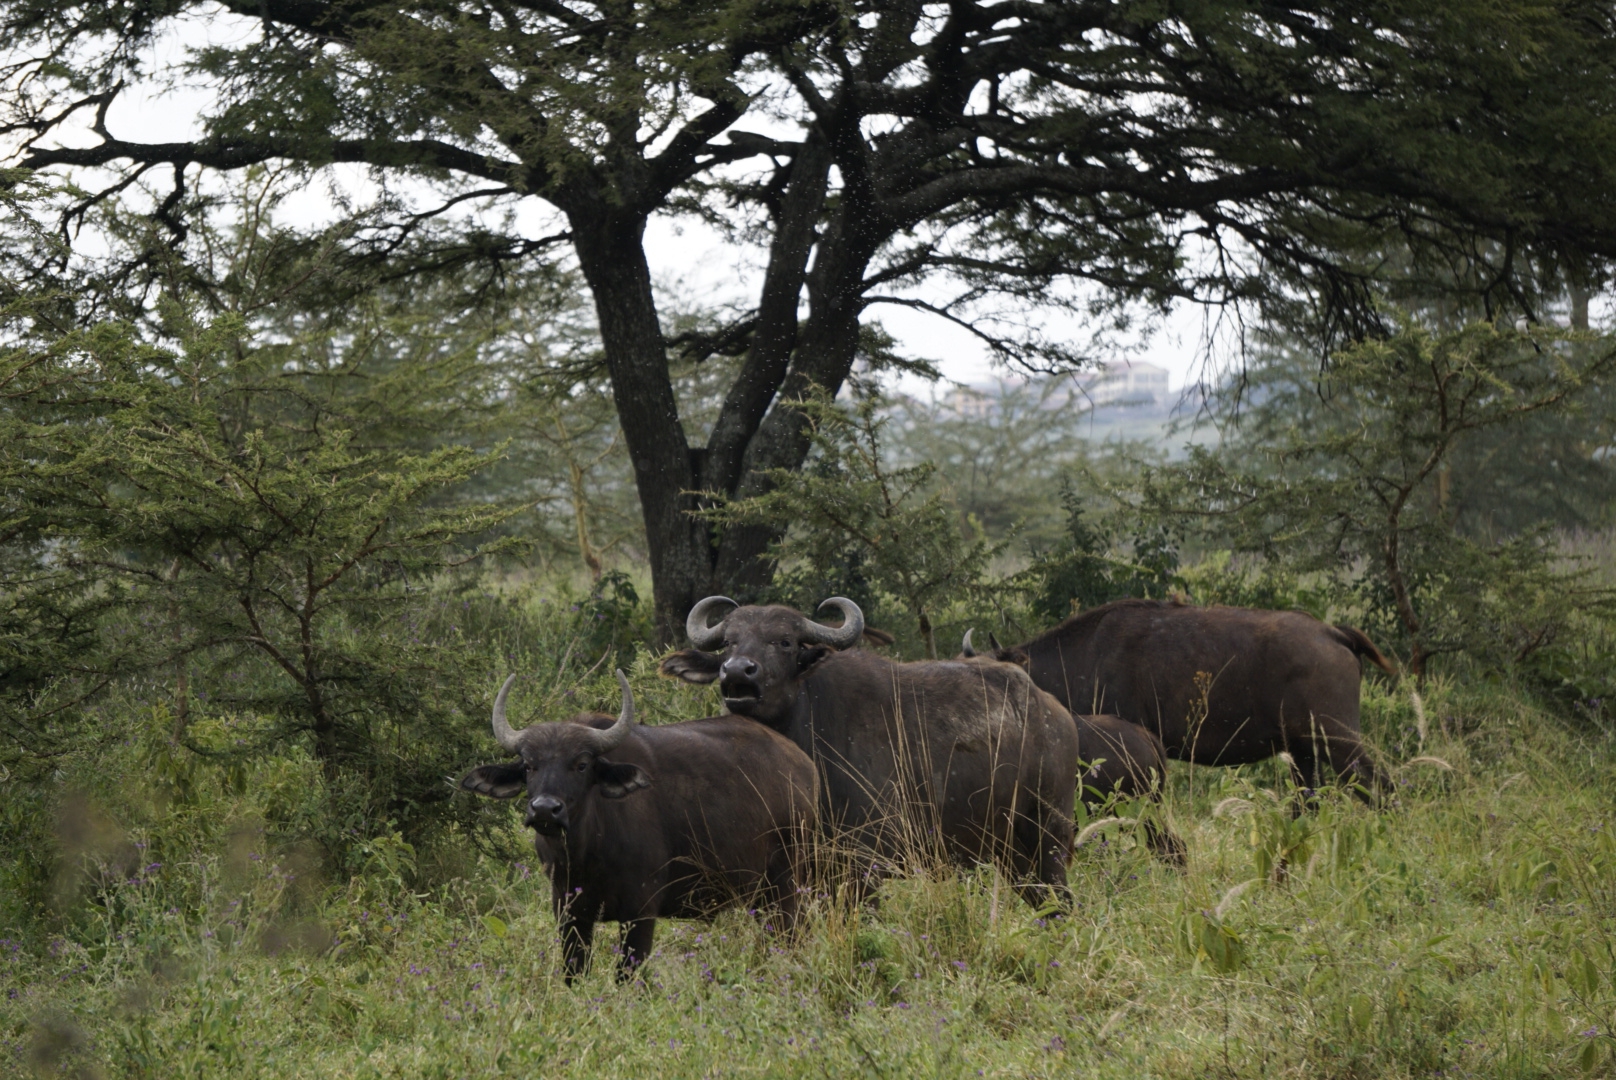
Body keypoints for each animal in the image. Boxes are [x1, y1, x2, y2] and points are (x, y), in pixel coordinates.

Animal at [465, 669, 820, 982]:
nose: (545, 810)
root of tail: (802, 765)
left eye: (582, 764)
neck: (586, 853)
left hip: (787, 884)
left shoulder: (640, 911)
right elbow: (574, 973)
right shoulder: (568, 911)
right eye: (528, 765)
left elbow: (627, 974)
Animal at [662, 598, 1079, 905]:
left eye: (784, 641)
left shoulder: (867, 862)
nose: (736, 672)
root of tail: (1053, 714)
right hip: (1008, 852)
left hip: (1050, 834)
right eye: (729, 642)